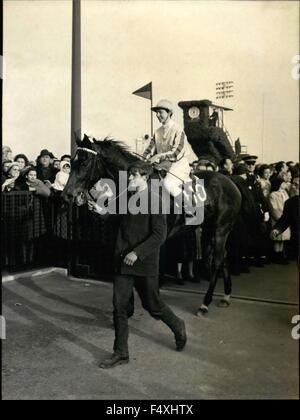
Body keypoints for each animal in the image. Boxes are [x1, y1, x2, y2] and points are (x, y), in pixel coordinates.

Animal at [62, 135, 241, 316]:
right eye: (72, 161)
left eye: (84, 162)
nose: (67, 194)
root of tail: (230, 182)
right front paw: (128, 307)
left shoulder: (157, 237)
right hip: (209, 229)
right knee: (224, 257)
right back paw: (226, 296)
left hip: (221, 229)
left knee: (217, 261)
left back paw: (205, 304)